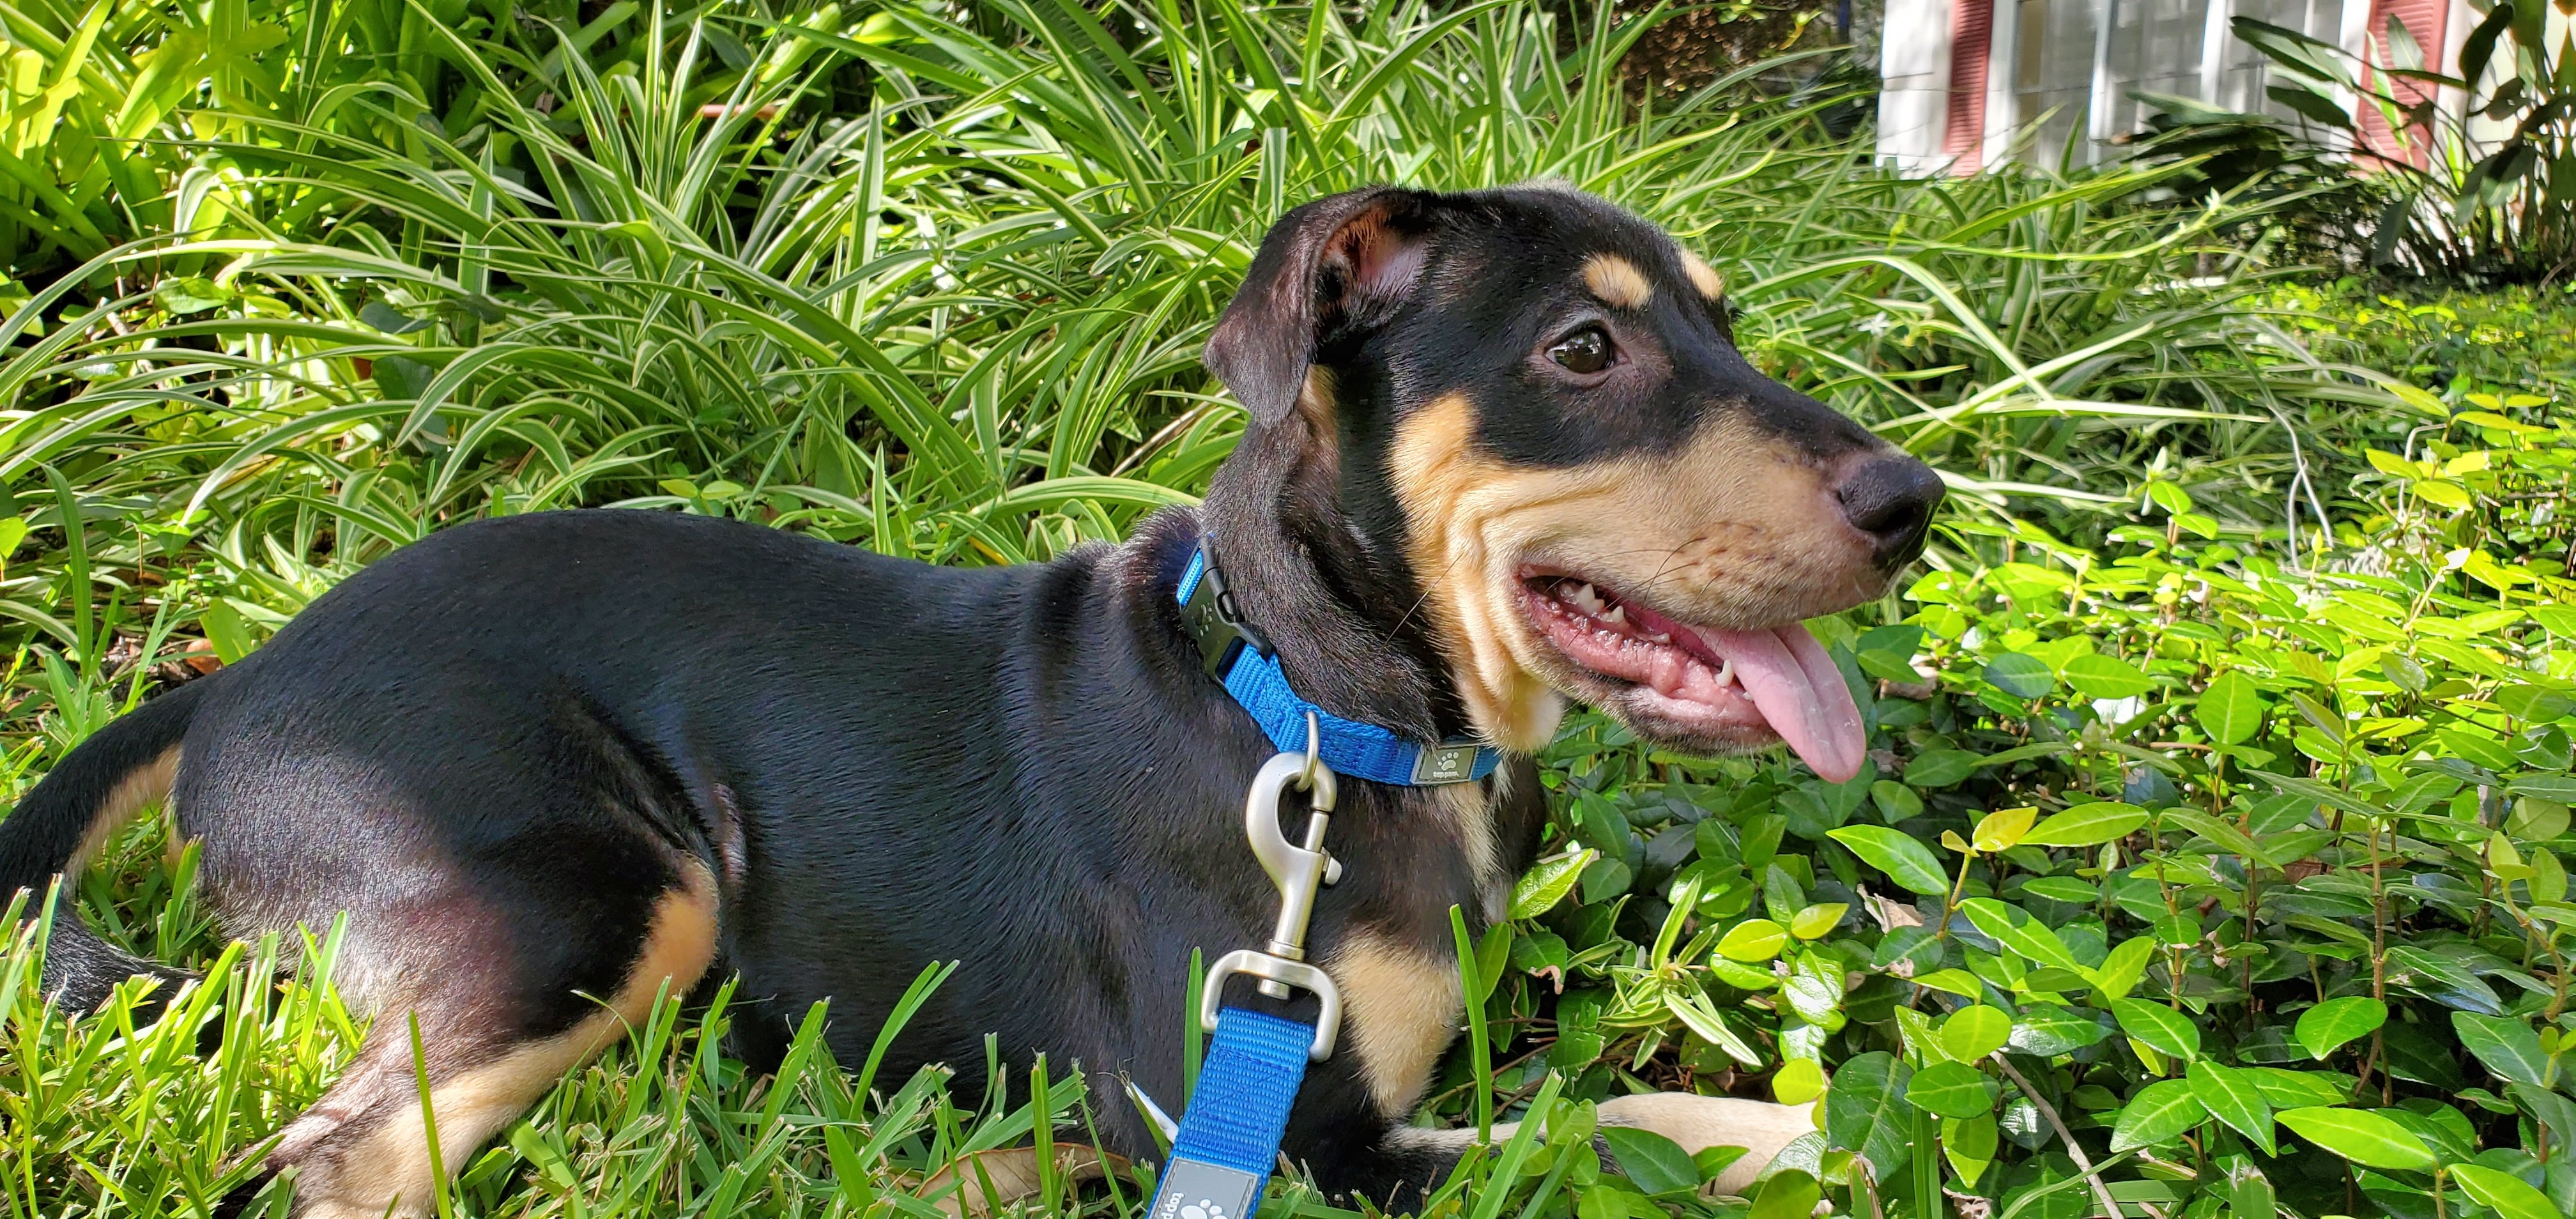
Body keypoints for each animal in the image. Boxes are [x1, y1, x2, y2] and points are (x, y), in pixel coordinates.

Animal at [0, 184, 1941, 1218]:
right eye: (1584, 352)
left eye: (1726, 325)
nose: (1915, 503)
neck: (1319, 716)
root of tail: (246, 677)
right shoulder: (1290, 1136)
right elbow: (1619, 1126)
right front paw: (1845, 1131)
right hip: (599, 893)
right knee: (339, 1162)